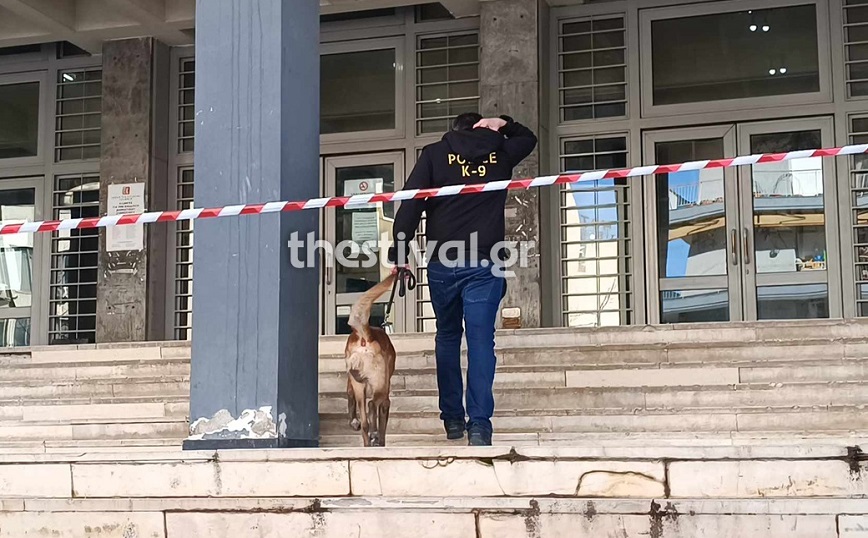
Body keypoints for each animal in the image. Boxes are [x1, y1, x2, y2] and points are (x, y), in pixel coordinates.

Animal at [348, 272, 398, 444]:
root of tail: (364, 335)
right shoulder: (386, 401)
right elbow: (383, 427)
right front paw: (380, 440)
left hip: (357, 385)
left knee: (364, 423)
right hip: (380, 385)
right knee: (371, 405)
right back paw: (374, 433)